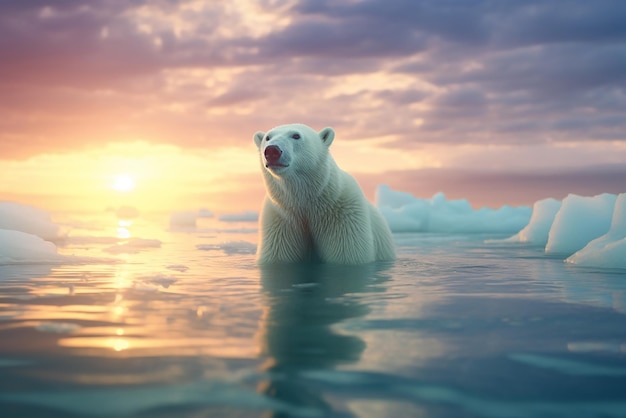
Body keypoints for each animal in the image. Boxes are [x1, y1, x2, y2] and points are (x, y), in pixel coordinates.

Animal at [251, 122, 392, 264]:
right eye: (268, 137)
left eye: (296, 135)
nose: (272, 150)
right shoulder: (282, 219)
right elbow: (278, 254)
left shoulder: (344, 217)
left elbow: (347, 254)